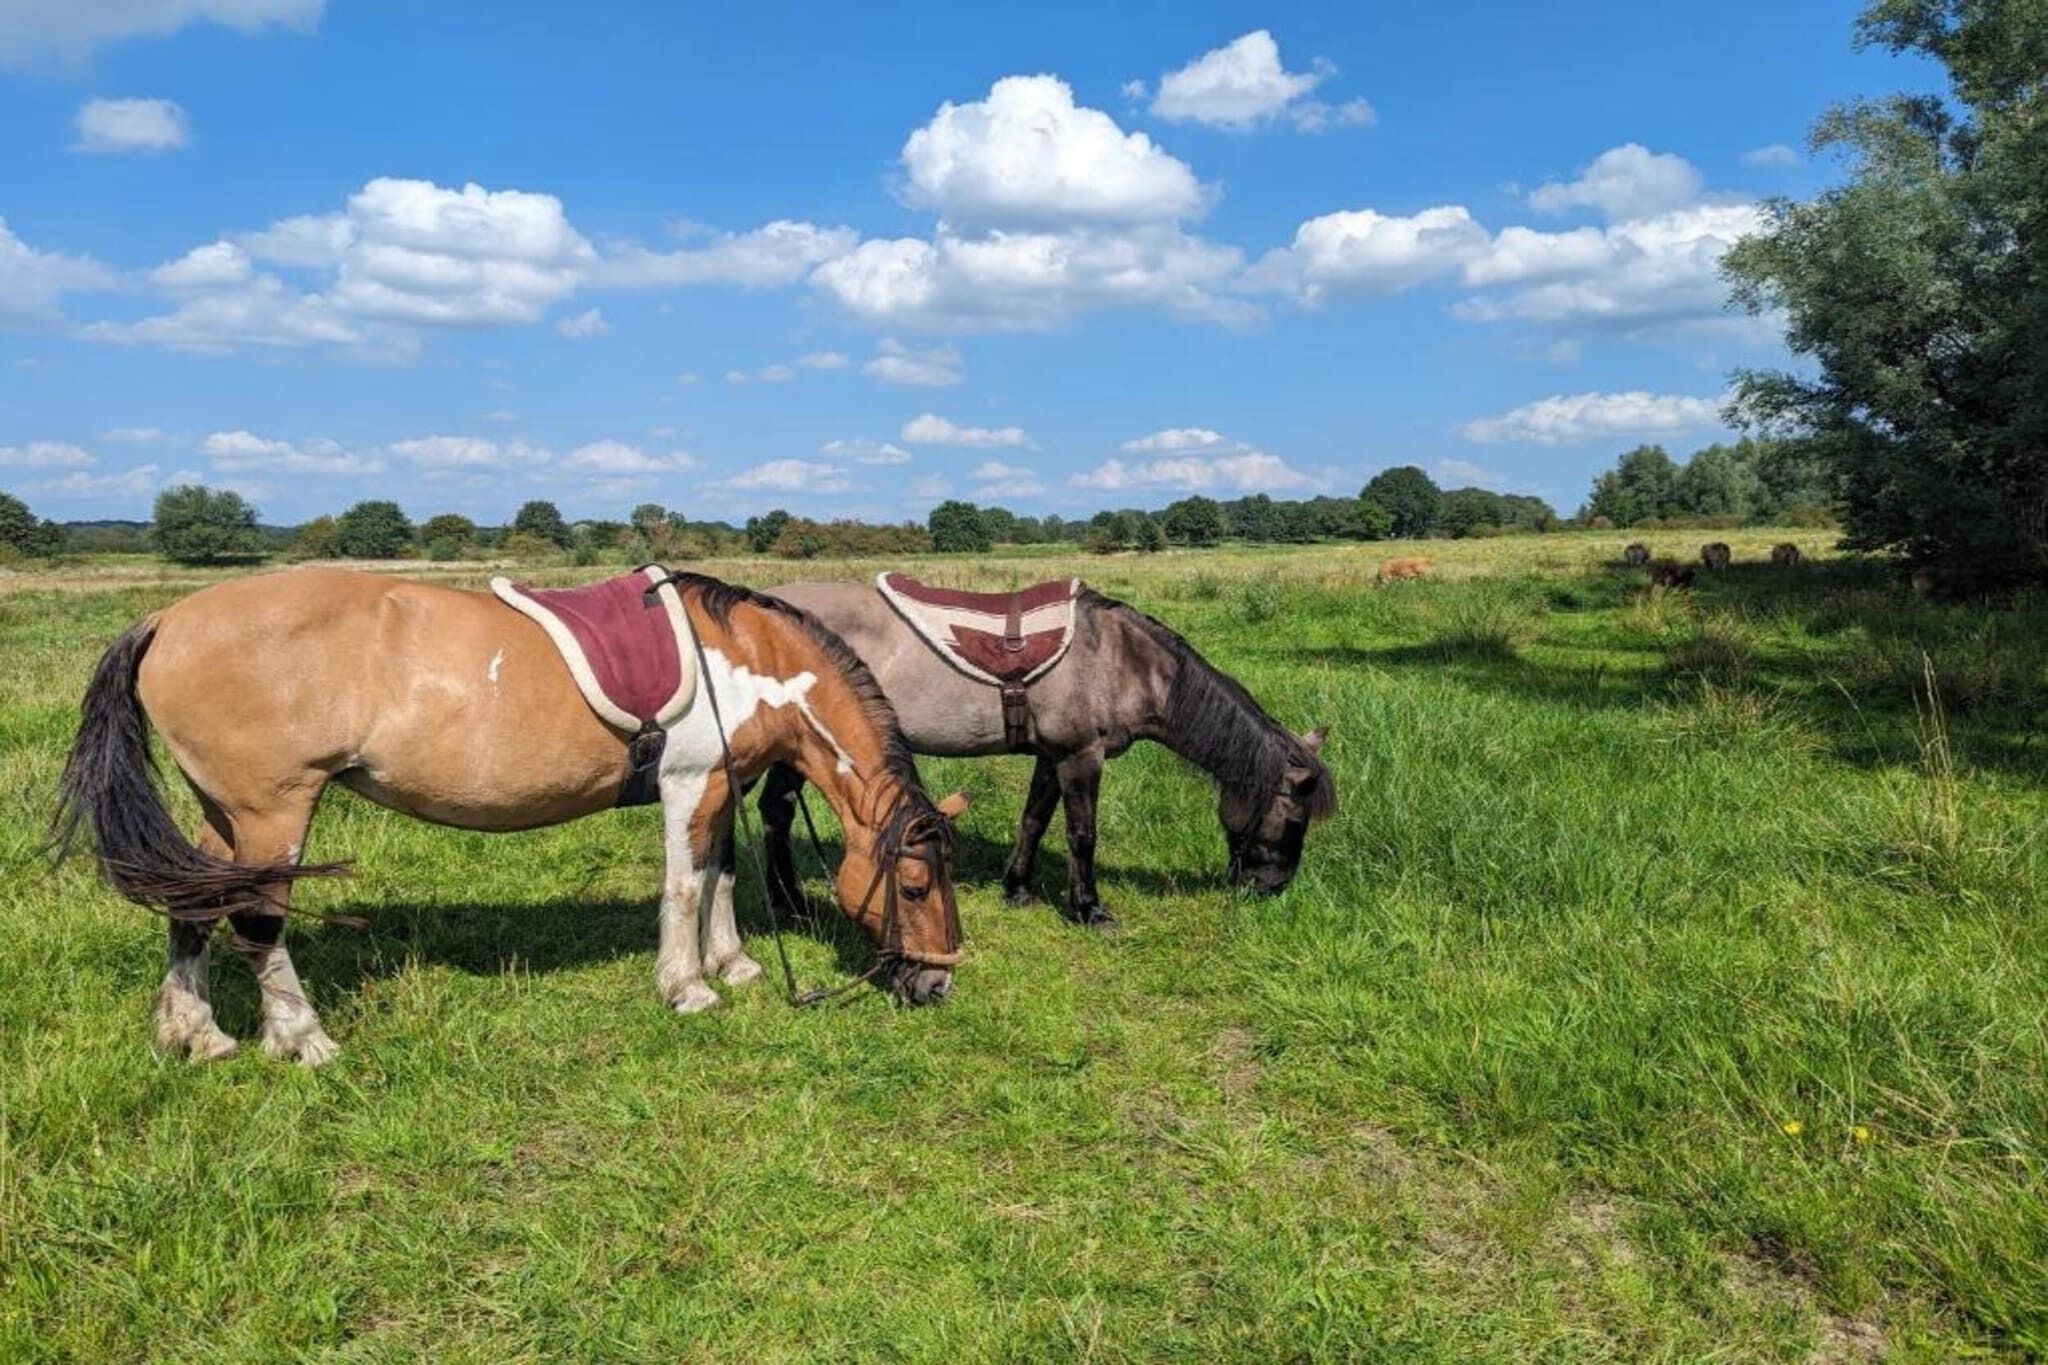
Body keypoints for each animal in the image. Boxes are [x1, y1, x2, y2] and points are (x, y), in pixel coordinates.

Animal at [52, 567, 969, 1066]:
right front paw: (687, 987)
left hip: (224, 813)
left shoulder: (723, 785)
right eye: (915, 886)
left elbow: (720, 877)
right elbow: (683, 888)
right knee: (255, 920)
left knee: (193, 906)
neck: (748, 658)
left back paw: (195, 1034)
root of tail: (167, 619)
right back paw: (302, 1037)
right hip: (273, 810)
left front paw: (733, 964)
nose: (936, 984)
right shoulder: (688, 782)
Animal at [762, 581, 1334, 928]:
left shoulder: (1051, 757)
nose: (1272, 888)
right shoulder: (1081, 756)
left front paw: (1018, 889)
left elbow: (1034, 819)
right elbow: (1082, 834)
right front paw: (1090, 909)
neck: (1121, 660)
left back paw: (788, 902)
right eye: (1294, 818)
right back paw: (790, 904)